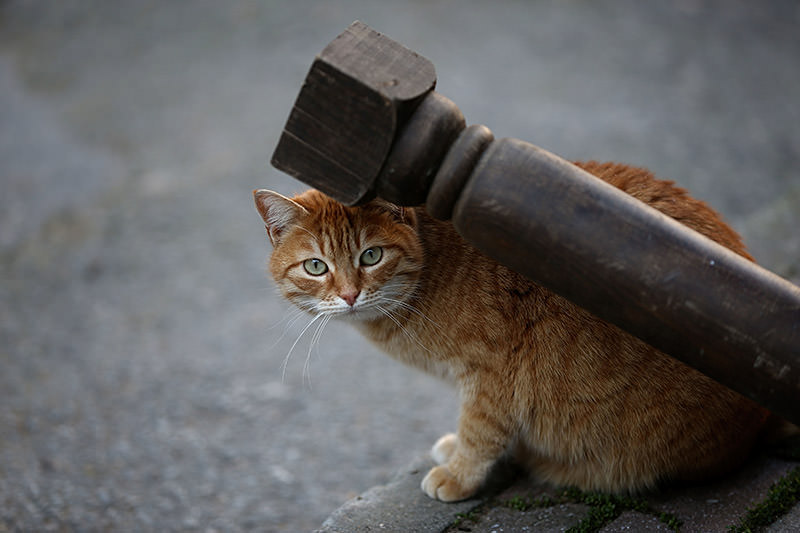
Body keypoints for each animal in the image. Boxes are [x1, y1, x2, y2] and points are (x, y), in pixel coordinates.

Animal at [253, 161, 772, 498]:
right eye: (316, 266)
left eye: (371, 256)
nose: (349, 295)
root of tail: (758, 421)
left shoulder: (494, 370)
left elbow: (481, 428)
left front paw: (460, 474)